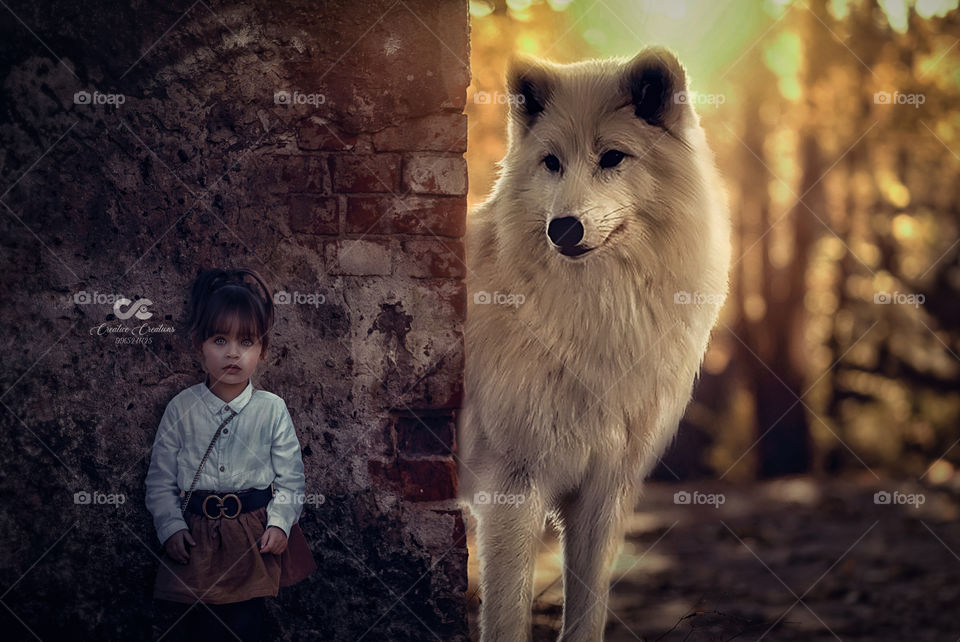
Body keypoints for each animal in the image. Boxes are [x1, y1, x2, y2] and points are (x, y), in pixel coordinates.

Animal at [459, 47, 731, 642]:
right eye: (551, 163)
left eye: (612, 158)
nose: (563, 228)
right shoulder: (512, 487)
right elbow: (507, 619)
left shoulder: (605, 491)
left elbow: (587, 614)